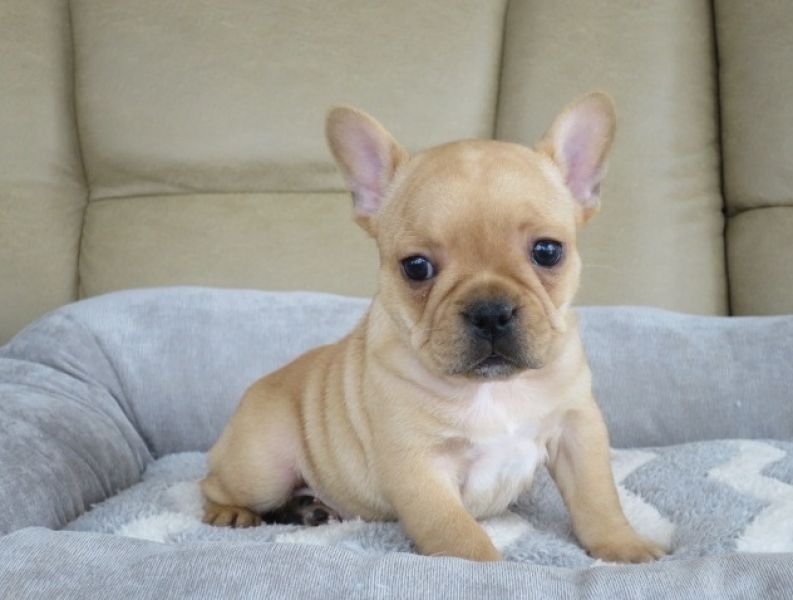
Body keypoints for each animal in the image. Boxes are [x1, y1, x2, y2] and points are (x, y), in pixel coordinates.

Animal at [201, 92, 666, 562]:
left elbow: (597, 497)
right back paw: (231, 513)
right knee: (213, 484)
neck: (494, 389)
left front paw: (623, 546)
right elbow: (456, 533)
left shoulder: (577, 430)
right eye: (417, 267)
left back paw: (307, 509)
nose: (490, 311)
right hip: (262, 465)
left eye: (548, 251)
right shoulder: (418, 465)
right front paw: (484, 567)